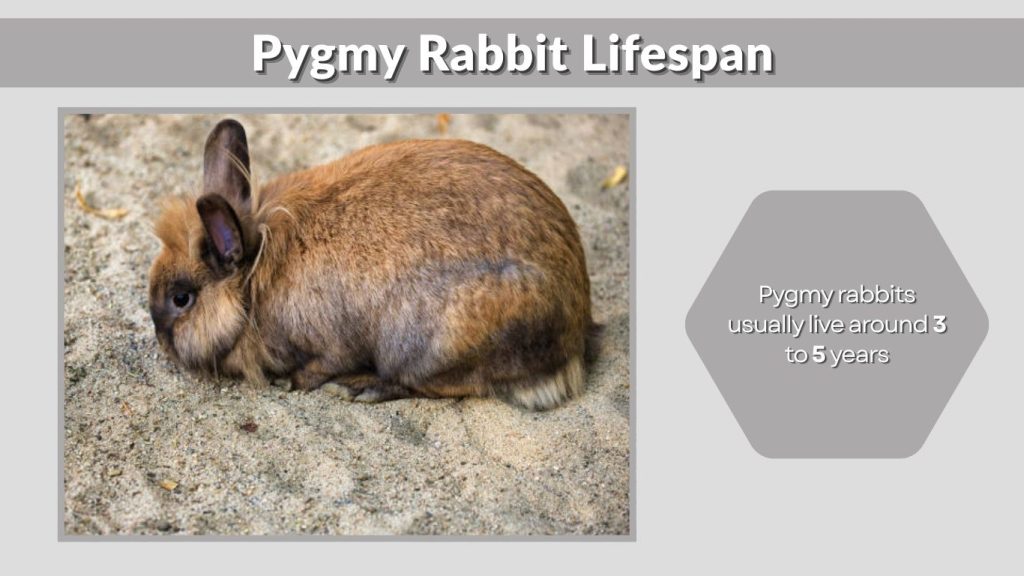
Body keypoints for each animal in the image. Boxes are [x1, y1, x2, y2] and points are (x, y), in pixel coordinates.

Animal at [148, 118, 594, 410]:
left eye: (181, 299)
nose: (161, 341)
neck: (255, 274)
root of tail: (571, 341)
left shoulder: (330, 344)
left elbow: (318, 367)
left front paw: (293, 381)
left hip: (435, 343)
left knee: (441, 384)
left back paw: (360, 388)